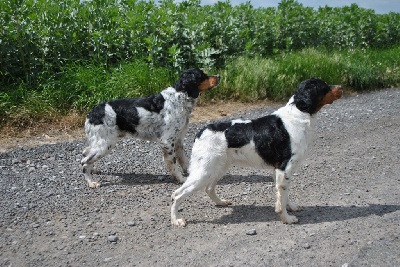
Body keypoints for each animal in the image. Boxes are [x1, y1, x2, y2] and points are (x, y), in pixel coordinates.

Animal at [81, 70, 219, 189]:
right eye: (203, 75)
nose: (219, 76)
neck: (179, 98)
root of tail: (91, 113)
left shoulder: (179, 140)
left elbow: (184, 160)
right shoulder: (167, 141)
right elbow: (173, 163)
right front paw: (181, 179)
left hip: (99, 143)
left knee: (85, 152)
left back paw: (93, 170)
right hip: (105, 145)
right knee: (84, 161)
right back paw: (91, 182)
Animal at [170, 78, 342, 227]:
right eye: (325, 86)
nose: (341, 87)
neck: (298, 114)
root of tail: (201, 132)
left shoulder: (278, 171)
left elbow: (284, 195)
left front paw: (291, 207)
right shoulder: (284, 168)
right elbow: (282, 199)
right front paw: (287, 218)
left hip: (218, 168)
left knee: (208, 189)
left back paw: (221, 203)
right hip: (204, 172)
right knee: (177, 194)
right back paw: (176, 220)